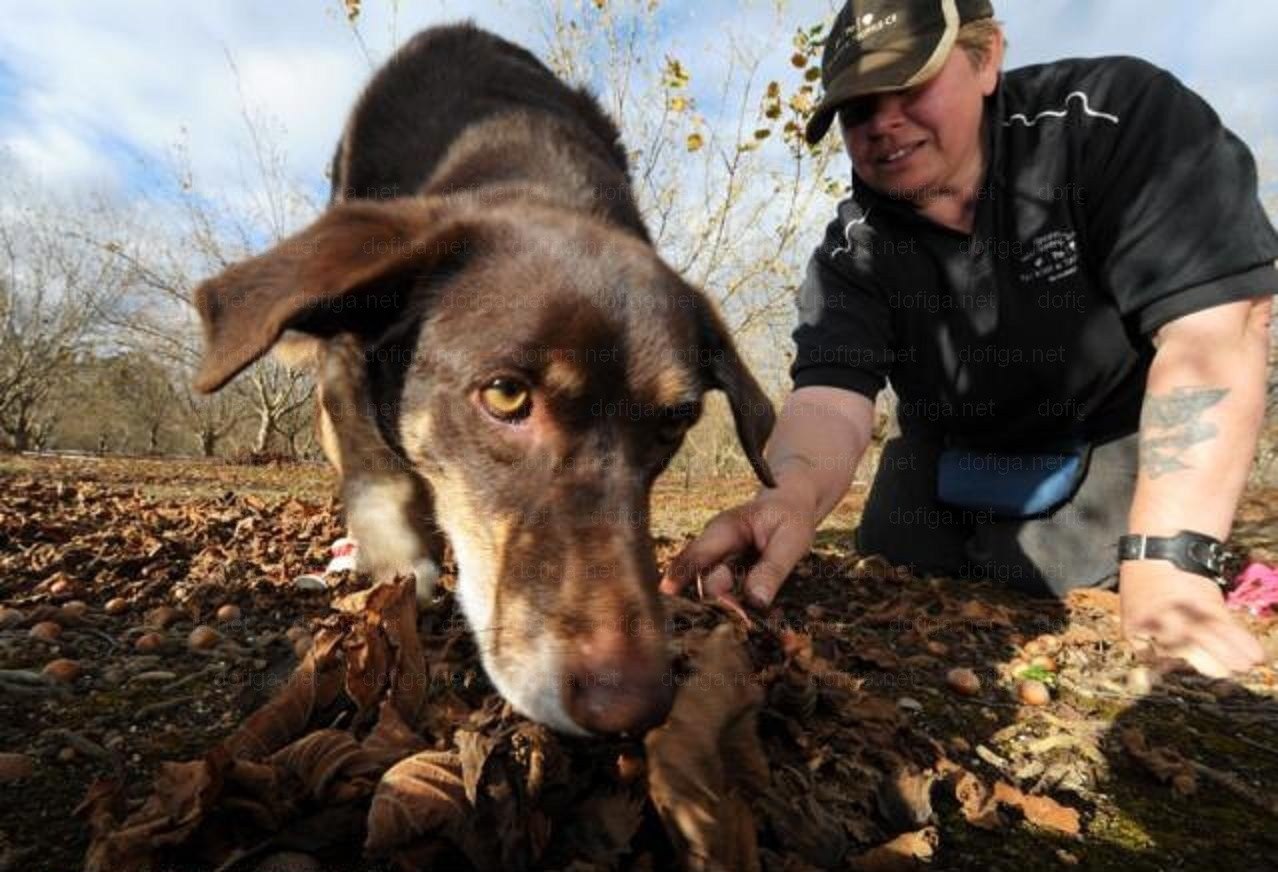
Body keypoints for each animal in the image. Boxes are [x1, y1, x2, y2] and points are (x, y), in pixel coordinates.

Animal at [187, 23, 766, 731]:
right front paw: (400, 567)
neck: (528, 167)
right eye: (506, 394)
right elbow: (379, 481)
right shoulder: (349, 355)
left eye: (674, 424)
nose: (631, 708)